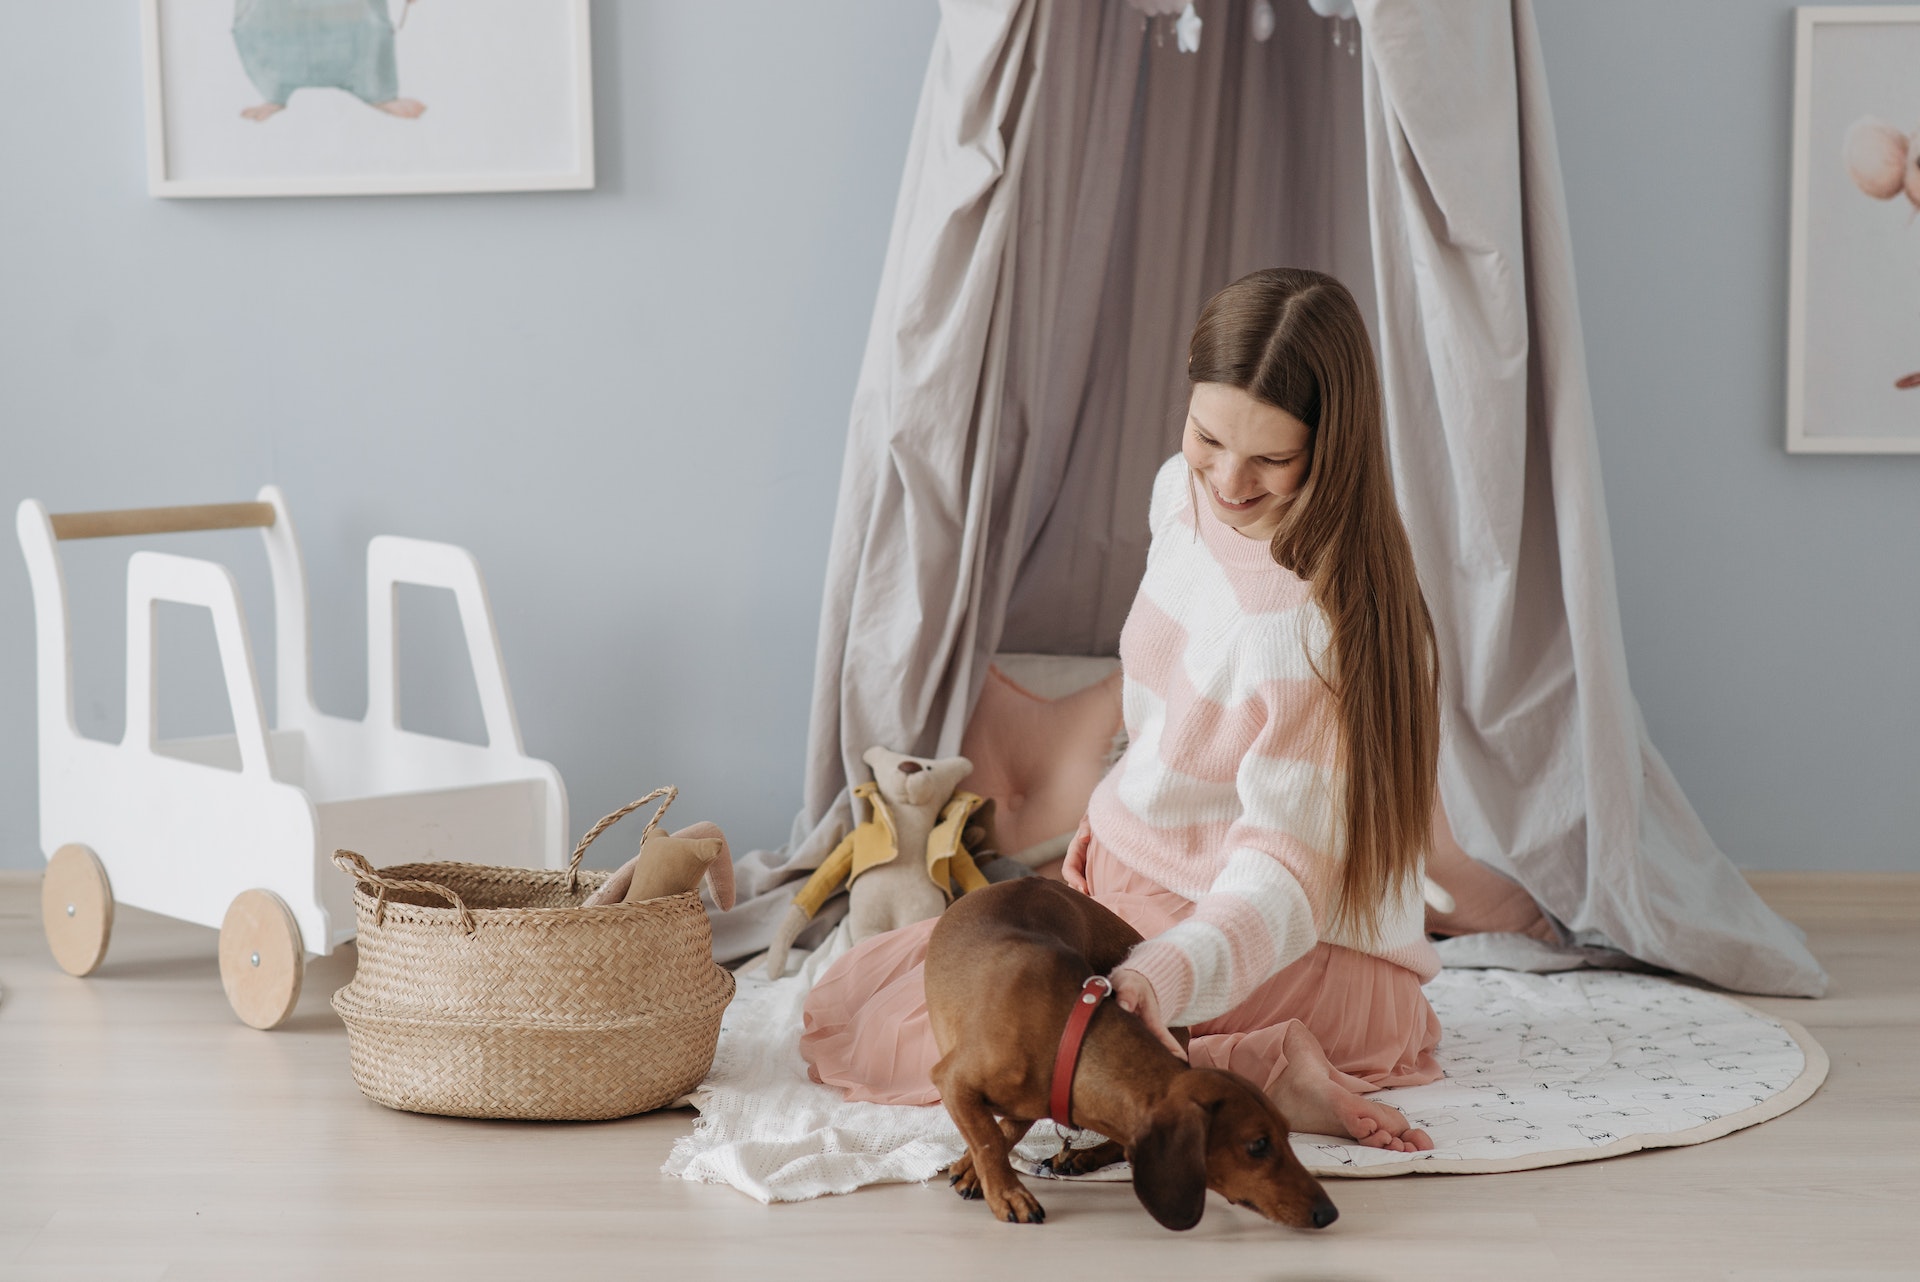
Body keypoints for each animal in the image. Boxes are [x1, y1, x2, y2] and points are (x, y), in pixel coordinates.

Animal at [925, 875, 1336, 1228]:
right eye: (1258, 1145)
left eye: (1287, 1134)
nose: (1328, 1212)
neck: (1064, 1035)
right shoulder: (953, 1081)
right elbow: (989, 1138)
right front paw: (1003, 1190)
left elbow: (1001, 1133)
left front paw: (982, 1176)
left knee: (1122, 1147)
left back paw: (1083, 1155)